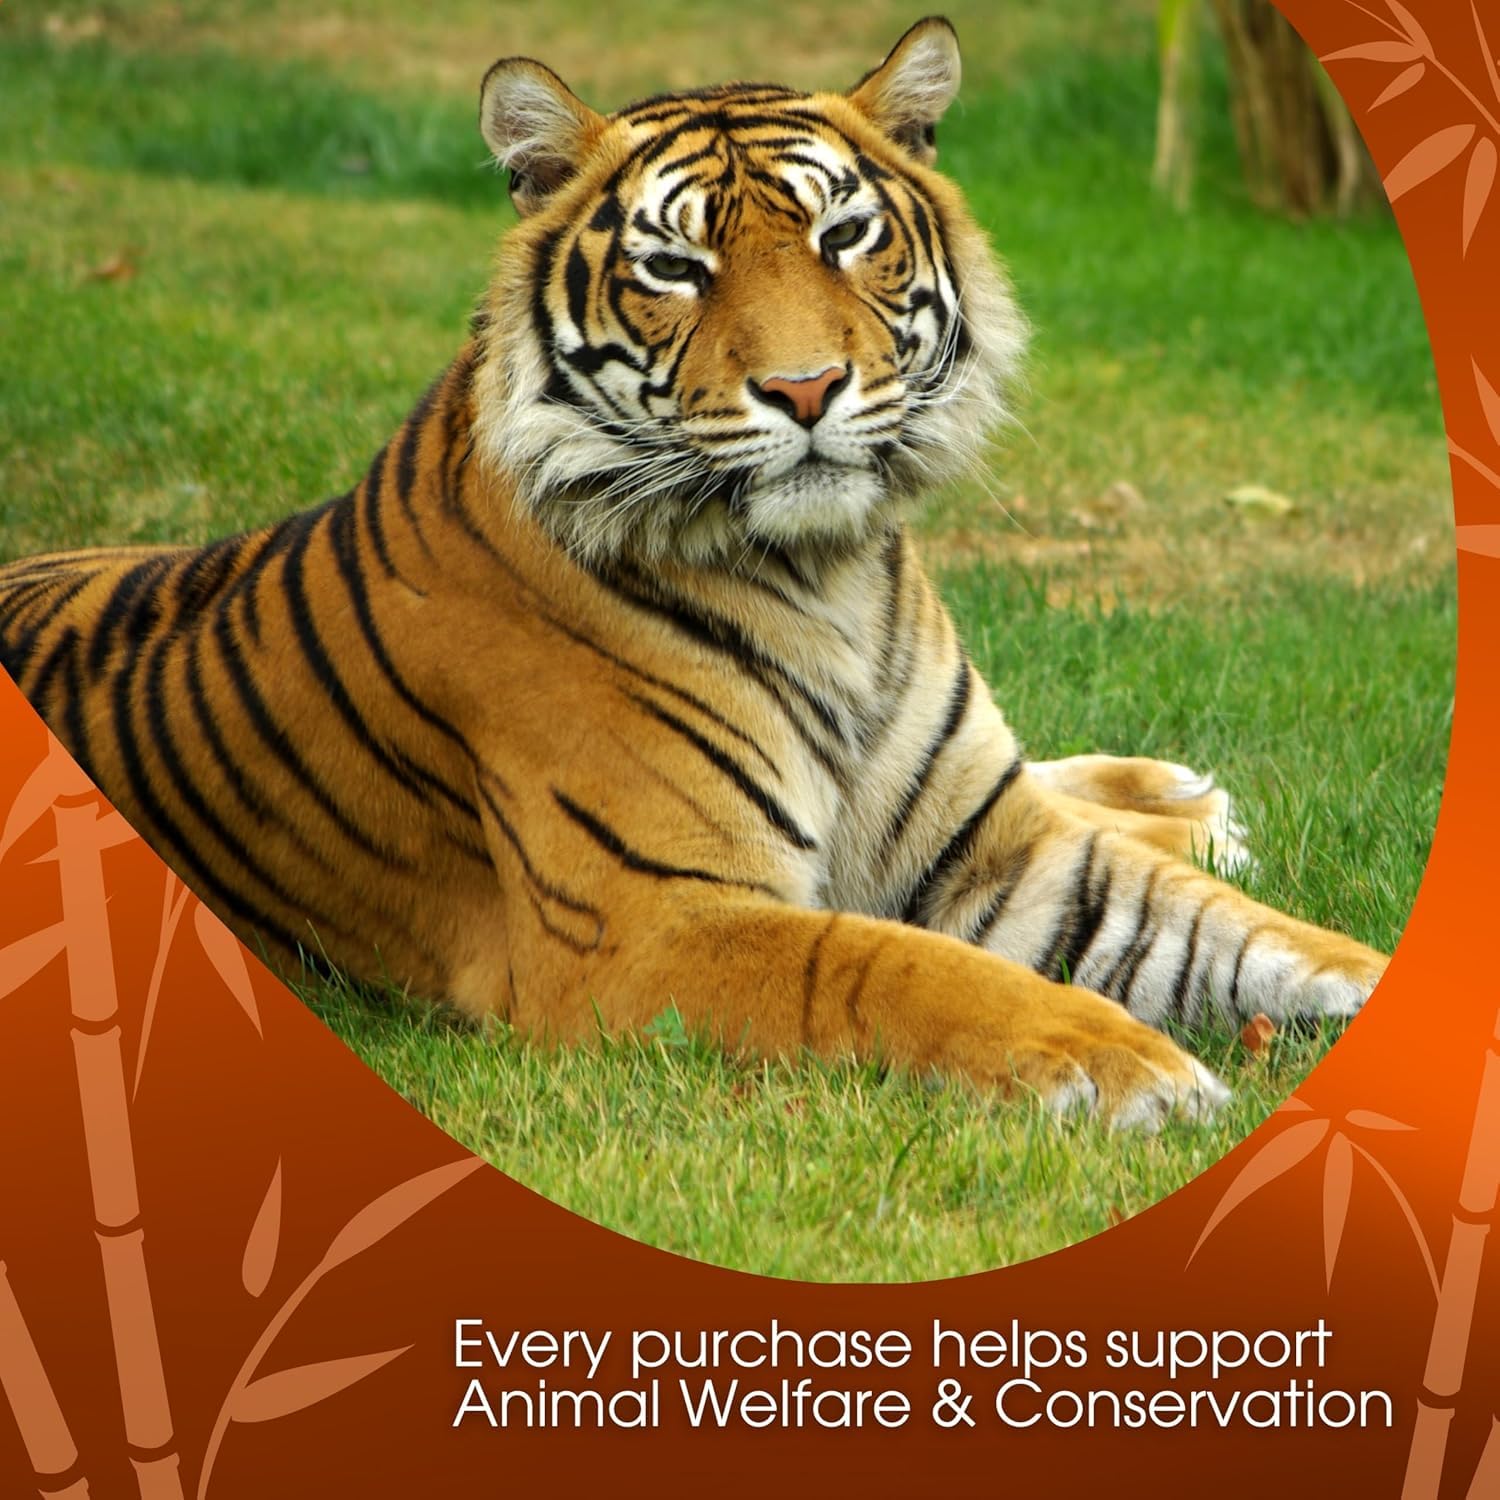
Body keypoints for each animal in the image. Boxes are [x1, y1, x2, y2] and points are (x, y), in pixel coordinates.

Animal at [0, 18, 1387, 1131]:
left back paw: (1181, 800)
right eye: (676, 267)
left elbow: (1251, 934)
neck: (832, 578)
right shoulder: (649, 926)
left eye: (845, 235)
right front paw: (1123, 1062)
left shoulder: (1000, 846)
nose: (806, 389)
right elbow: (892, 965)